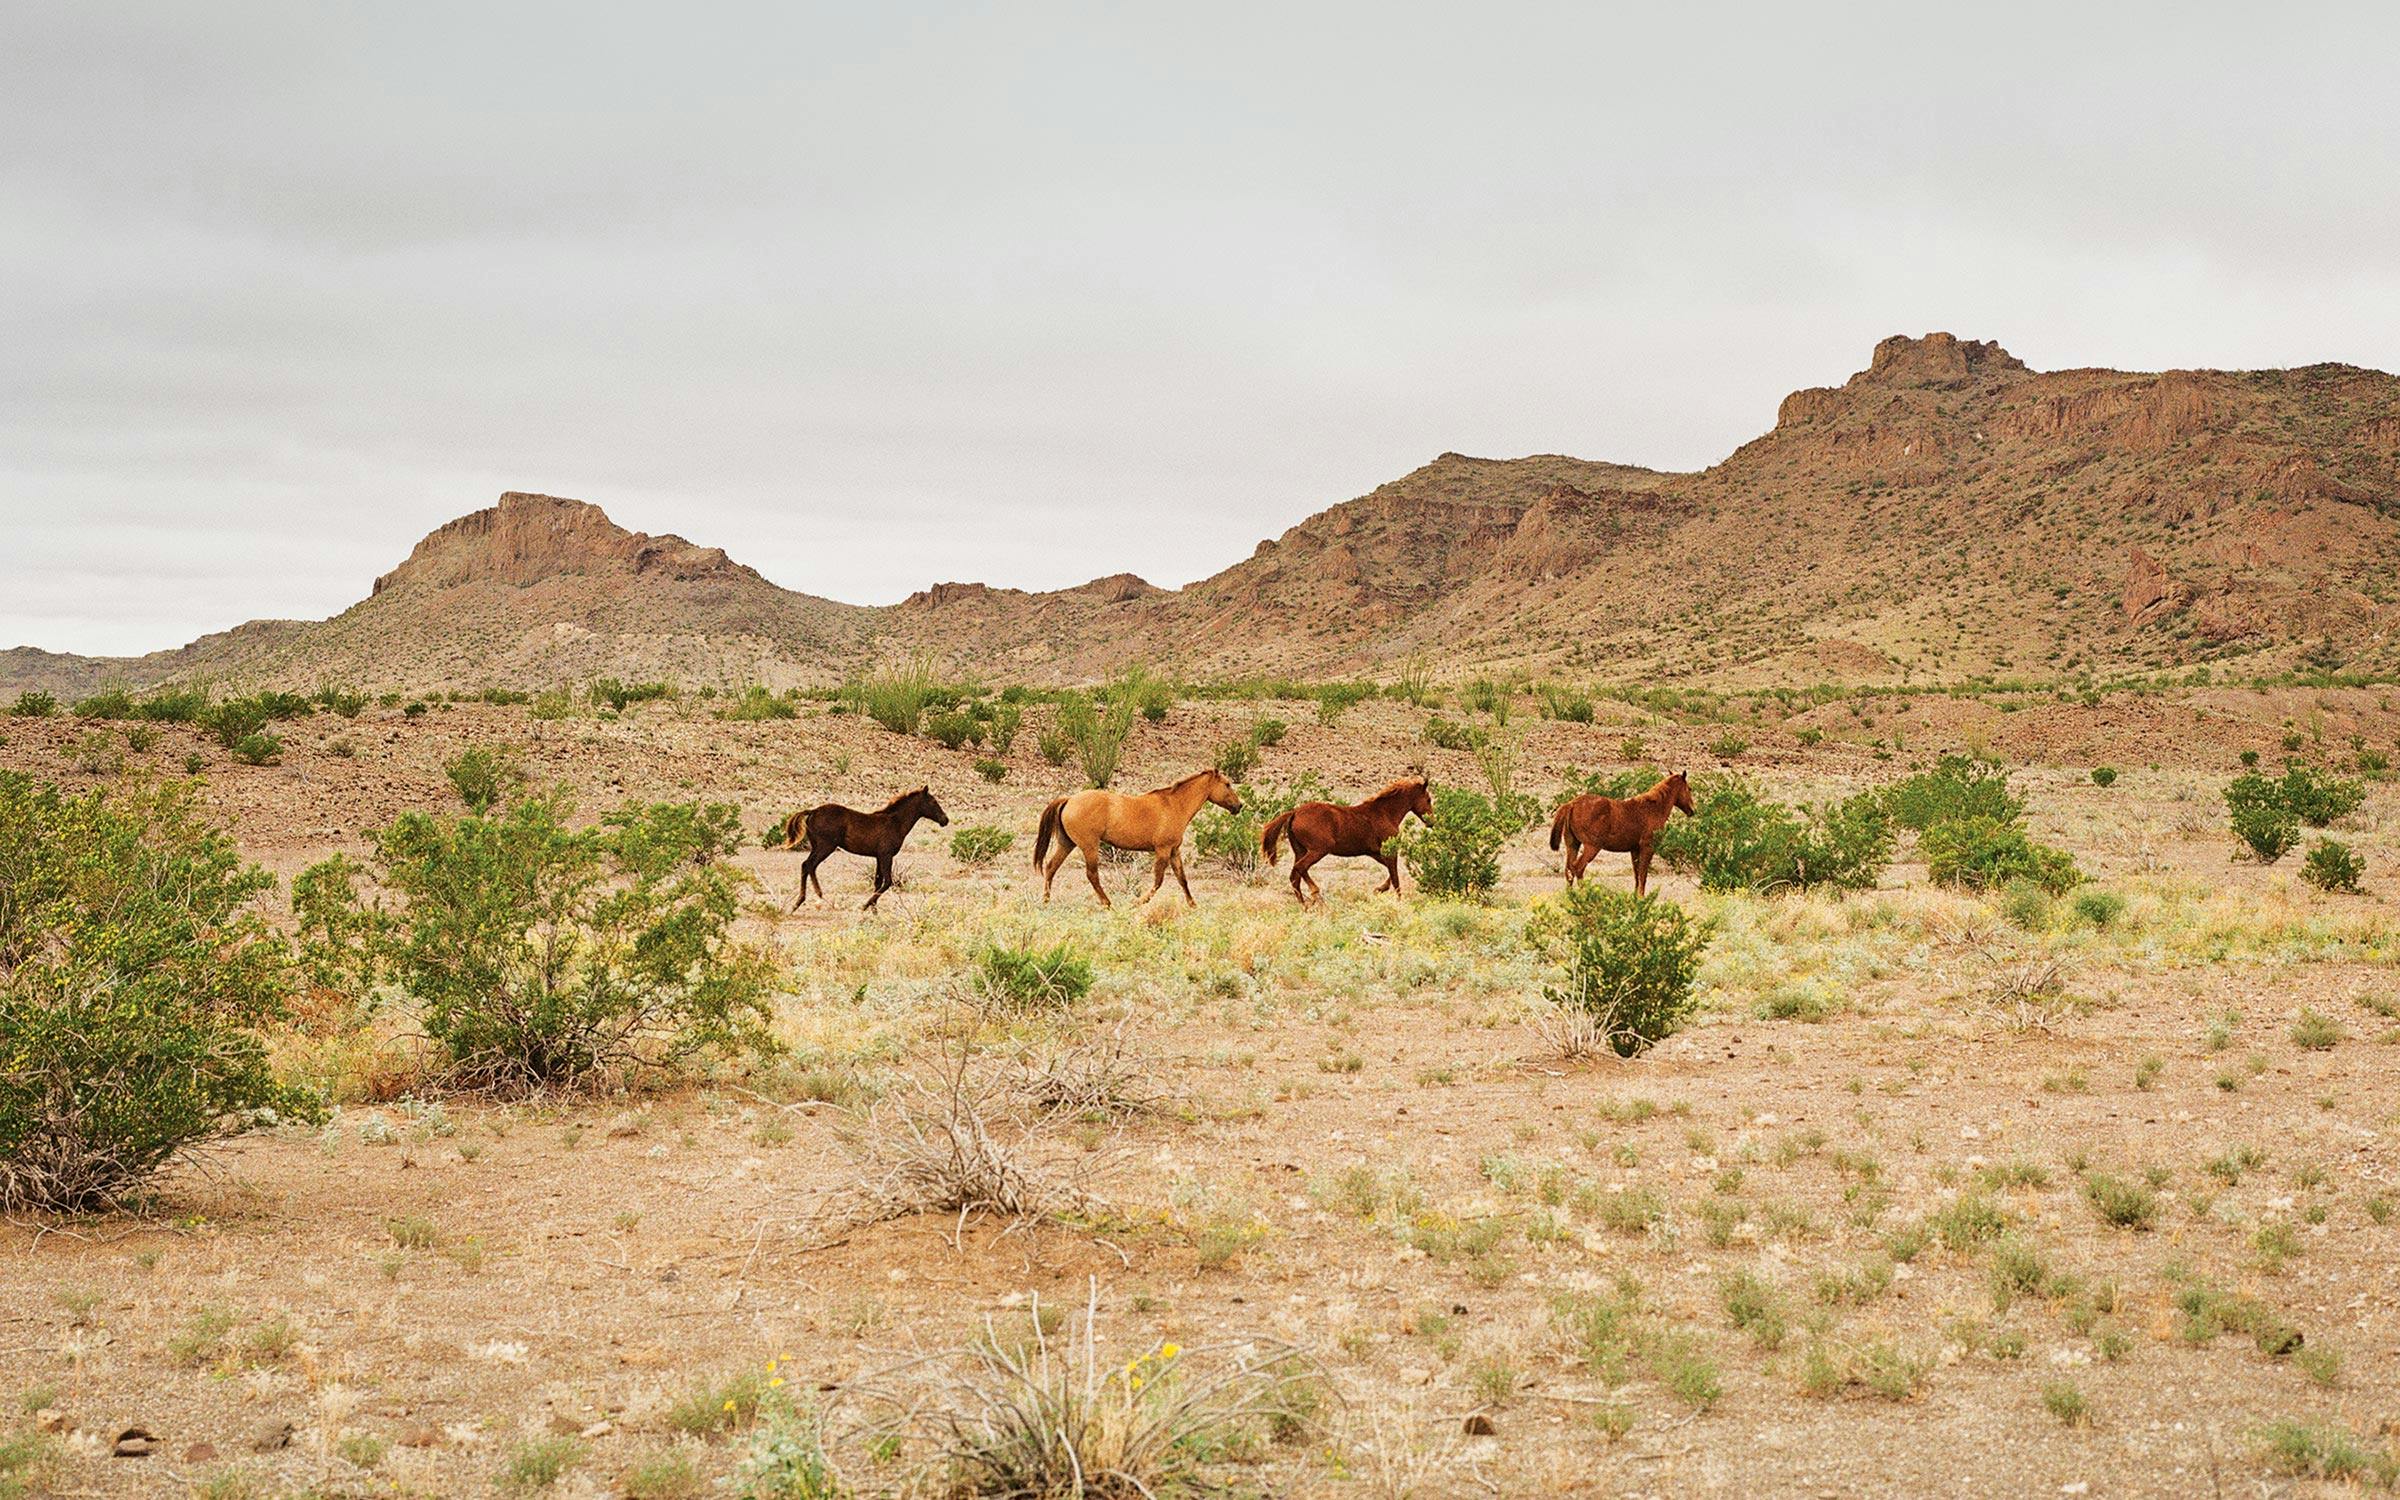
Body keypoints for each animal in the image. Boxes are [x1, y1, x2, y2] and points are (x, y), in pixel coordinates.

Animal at [782, 786, 948, 909]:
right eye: (933, 801)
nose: (945, 820)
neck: (895, 822)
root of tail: (813, 811)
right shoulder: (886, 855)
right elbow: (887, 882)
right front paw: (865, 906)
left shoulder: (878, 857)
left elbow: (878, 882)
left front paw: (874, 910)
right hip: (825, 846)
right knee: (809, 865)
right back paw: (810, 899)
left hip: (817, 846)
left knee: (807, 866)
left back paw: (808, 899)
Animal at [1033, 768, 1242, 907]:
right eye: (1227, 784)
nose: (1239, 806)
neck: (1174, 805)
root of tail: (1069, 800)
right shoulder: (1163, 850)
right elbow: (1158, 881)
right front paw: (1138, 903)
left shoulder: (1174, 851)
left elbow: (1182, 879)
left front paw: (1193, 905)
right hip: (1089, 846)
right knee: (1092, 875)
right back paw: (1108, 904)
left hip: (1067, 844)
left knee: (1051, 867)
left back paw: (1046, 901)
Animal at [1260, 777, 1433, 905]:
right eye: (1429, 799)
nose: (1431, 822)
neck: (1385, 814)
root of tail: (1295, 812)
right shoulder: (1389, 851)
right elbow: (1395, 877)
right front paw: (1399, 902)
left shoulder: (1375, 853)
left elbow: (1391, 873)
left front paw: (1378, 889)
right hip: (1319, 850)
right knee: (1300, 868)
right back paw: (1317, 897)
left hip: (1300, 850)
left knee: (1295, 876)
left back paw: (1305, 906)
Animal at [1548, 771, 1695, 896]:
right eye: (1689, 788)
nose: (1692, 811)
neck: (1652, 809)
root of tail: (1571, 804)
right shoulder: (1647, 848)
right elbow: (1643, 875)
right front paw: (1641, 897)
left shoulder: (1635, 850)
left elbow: (1637, 874)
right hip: (1592, 847)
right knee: (1578, 868)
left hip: (1573, 844)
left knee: (1569, 870)